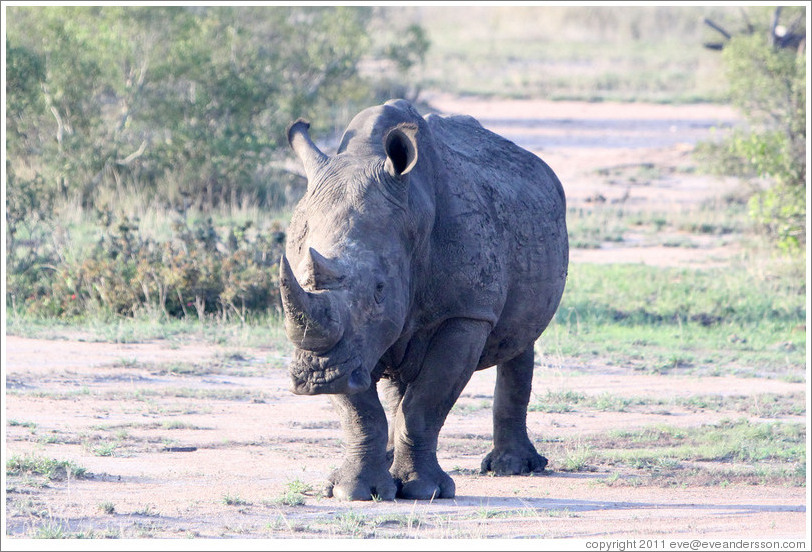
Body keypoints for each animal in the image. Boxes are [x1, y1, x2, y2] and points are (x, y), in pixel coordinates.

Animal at [280, 99, 568, 501]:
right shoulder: (342, 342)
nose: (315, 377)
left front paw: (425, 491)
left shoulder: (465, 313)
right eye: (302, 278)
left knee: (520, 341)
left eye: (380, 290)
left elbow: (426, 403)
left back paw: (514, 468)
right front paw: (354, 492)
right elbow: (360, 410)